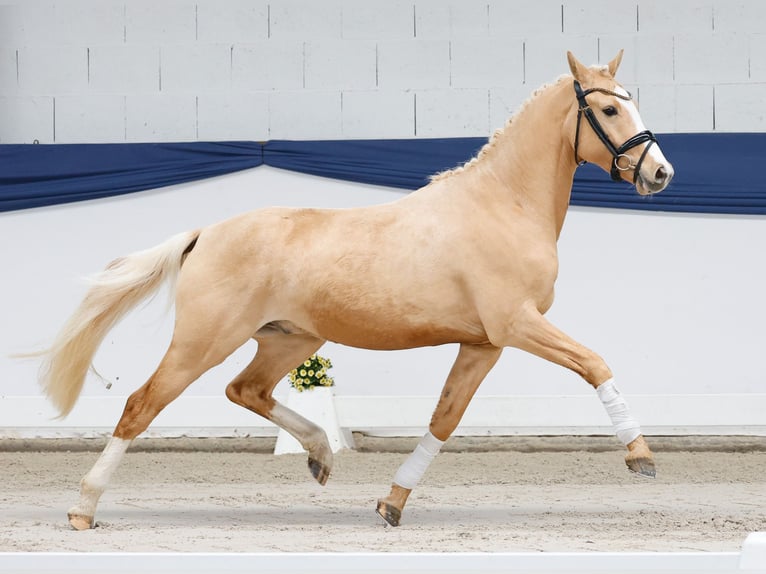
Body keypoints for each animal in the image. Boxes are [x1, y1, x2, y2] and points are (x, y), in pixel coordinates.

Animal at [37, 50, 673, 530]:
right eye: (609, 107)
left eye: (633, 99)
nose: (660, 173)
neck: (503, 205)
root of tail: (206, 233)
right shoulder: (515, 324)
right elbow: (594, 362)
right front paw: (640, 457)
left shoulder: (483, 343)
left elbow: (445, 419)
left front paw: (391, 504)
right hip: (204, 340)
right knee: (141, 405)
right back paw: (82, 509)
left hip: (287, 340)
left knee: (246, 389)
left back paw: (320, 454)